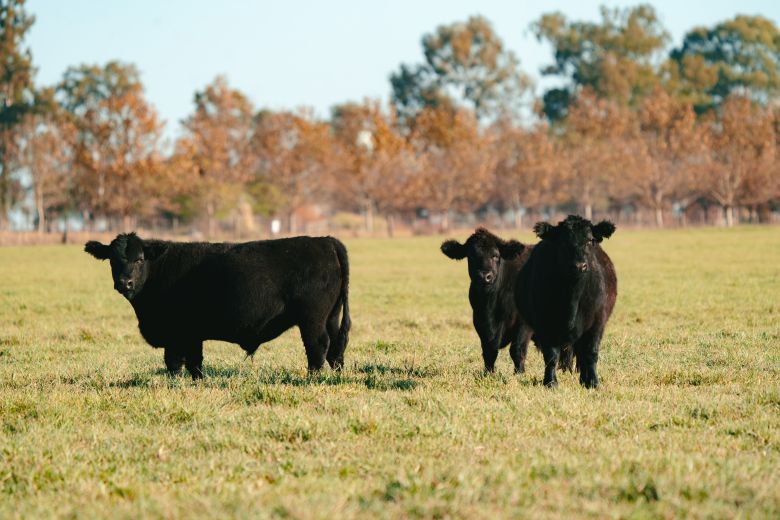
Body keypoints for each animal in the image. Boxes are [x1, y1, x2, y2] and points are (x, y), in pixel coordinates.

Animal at [442, 229, 532, 374]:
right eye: (471, 256)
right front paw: (488, 373)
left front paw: (519, 374)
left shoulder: (524, 323)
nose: (484, 276)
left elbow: (517, 350)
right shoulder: (480, 320)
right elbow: (489, 351)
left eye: (495, 256)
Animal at [516, 213, 620, 388]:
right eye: (564, 242)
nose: (579, 266)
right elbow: (551, 356)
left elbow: (591, 353)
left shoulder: (597, 323)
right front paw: (550, 382)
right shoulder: (545, 325)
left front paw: (593, 383)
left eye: (590, 240)